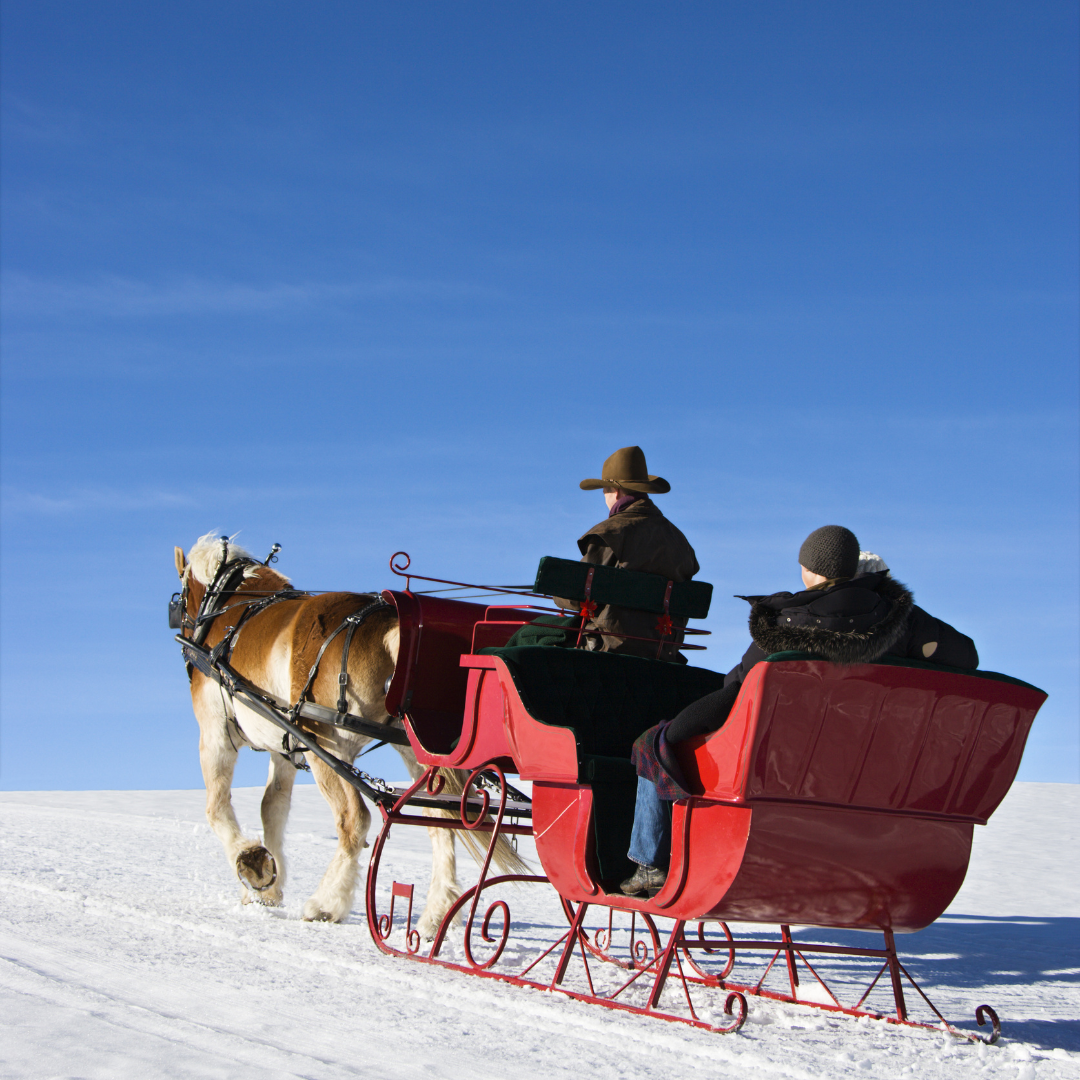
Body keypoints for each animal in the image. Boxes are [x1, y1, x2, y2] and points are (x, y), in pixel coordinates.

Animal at [172, 531, 527, 934]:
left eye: (179, 598)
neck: (233, 610)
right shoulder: (284, 746)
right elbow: (272, 808)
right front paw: (268, 890)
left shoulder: (216, 733)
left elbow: (216, 808)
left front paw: (253, 865)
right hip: (413, 751)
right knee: (440, 819)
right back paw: (436, 913)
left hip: (329, 746)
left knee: (355, 820)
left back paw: (327, 902)